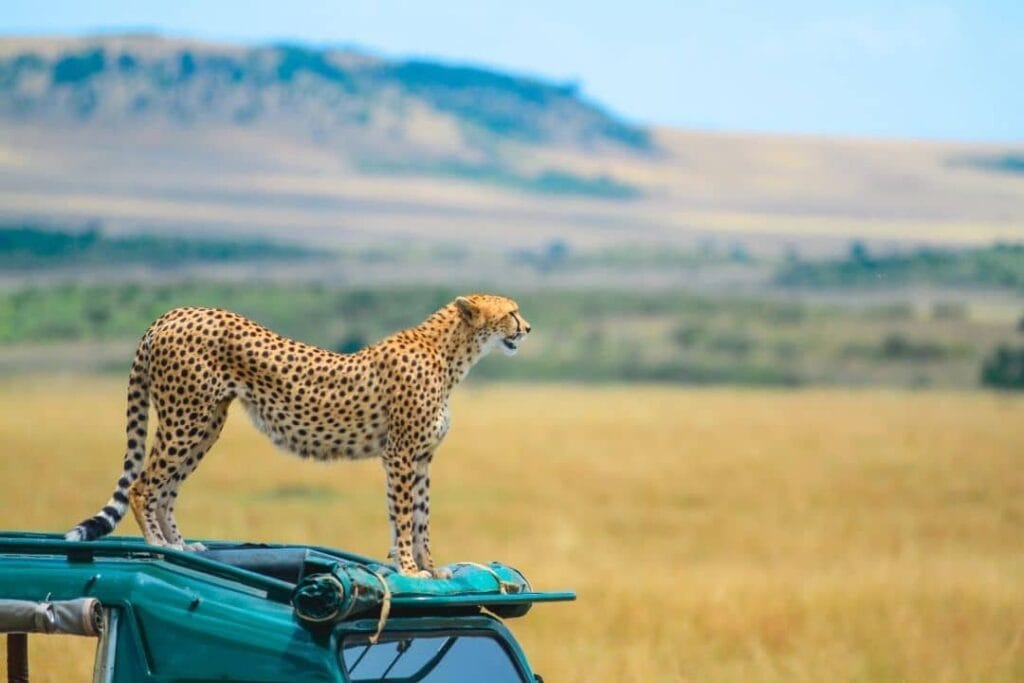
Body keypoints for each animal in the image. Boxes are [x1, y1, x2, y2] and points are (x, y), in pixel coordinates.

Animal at [65, 293, 531, 577]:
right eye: (511, 312)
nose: (527, 329)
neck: (452, 353)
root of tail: (176, 312)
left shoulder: (419, 458)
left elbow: (420, 516)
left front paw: (428, 568)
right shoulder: (400, 454)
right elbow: (402, 515)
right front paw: (410, 569)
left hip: (206, 423)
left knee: (166, 488)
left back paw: (180, 546)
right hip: (187, 416)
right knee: (144, 484)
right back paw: (160, 545)